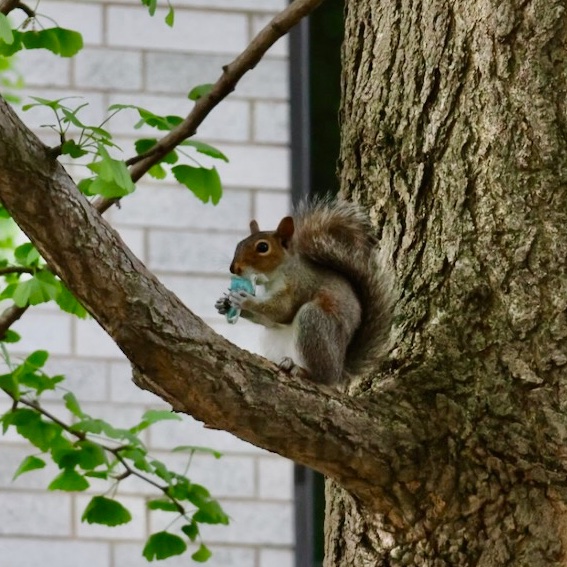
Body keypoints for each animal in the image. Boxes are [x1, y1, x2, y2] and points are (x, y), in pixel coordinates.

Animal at [215, 199, 392, 386]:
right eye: (239, 244)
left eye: (263, 247)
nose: (233, 268)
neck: (277, 275)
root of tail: (339, 370)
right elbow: (267, 319)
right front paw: (223, 304)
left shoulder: (299, 286)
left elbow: (282, 311)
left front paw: (245, 300)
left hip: (313, 321)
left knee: (322, 376)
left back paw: (301, 370)